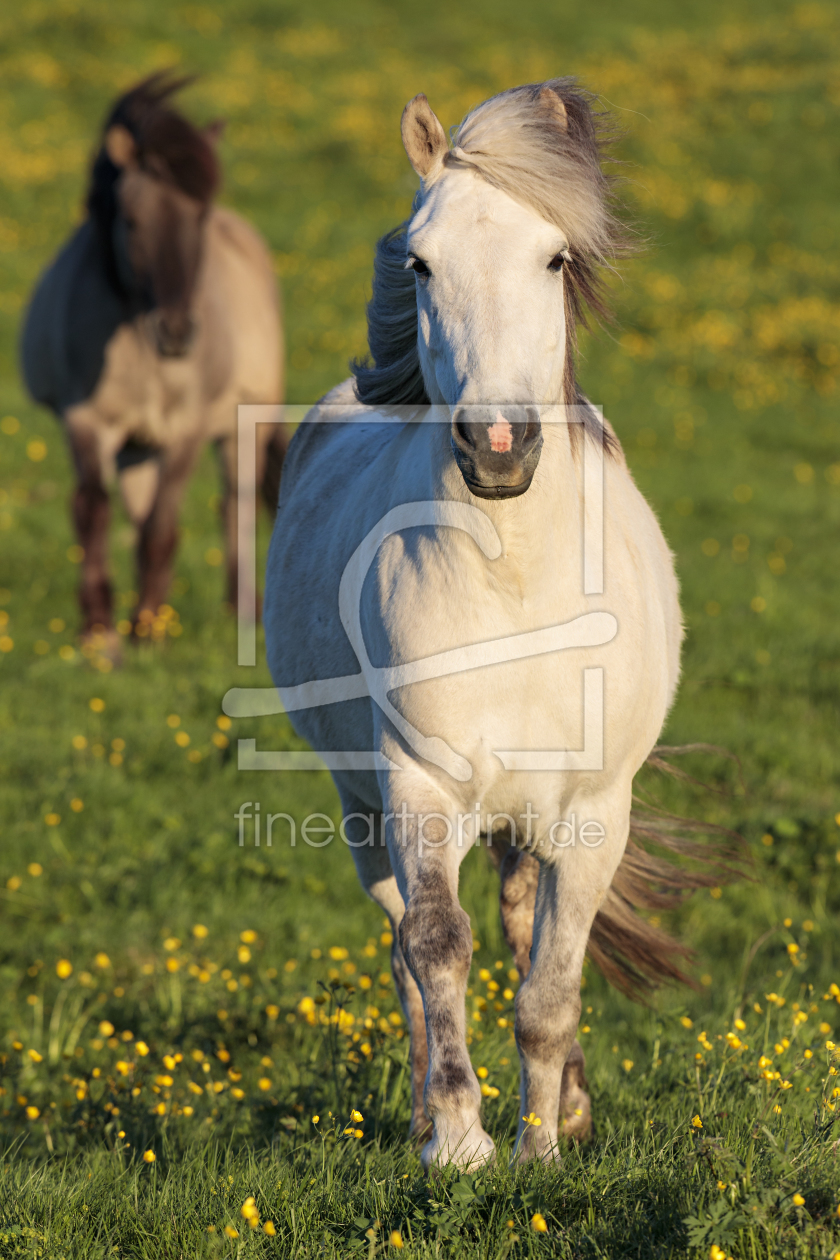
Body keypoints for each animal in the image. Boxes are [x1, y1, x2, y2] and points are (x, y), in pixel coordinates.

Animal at [21, 77, 284, 645]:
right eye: (132, 220)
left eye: (199, 216)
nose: (177, 332)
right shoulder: (85, 423)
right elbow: (94, 512)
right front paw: (101, 633)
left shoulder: (186, 428)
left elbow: (163, 526)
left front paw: (149, 633)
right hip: (137, 448)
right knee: (139, 511)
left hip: (241, 425)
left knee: (235, 505)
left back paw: (241, 614)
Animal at [264, 81, 715, 1169]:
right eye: (421, 262)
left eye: (555, 258)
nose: (499, 446)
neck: (517, 594)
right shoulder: (418, 787)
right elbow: (436, 946)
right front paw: (461, 1142)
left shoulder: (594, 813)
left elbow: (550, 984)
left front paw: (544, 1148)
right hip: (361, 810)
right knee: (407, 951)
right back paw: (428, 1116)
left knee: (523, 922)